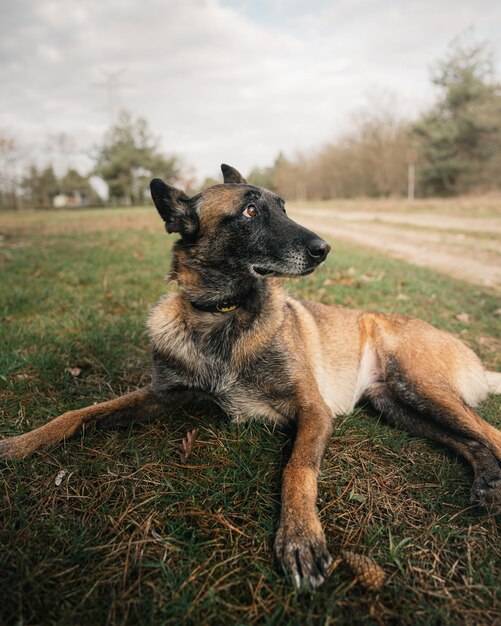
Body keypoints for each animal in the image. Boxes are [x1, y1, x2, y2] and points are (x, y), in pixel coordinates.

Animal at [0, 163, 500, 588]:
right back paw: (487, 481)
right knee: (471, 441)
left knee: (487, 432)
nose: (324, 249)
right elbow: (80, 413)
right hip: (398, 405)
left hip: (417, 386)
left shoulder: (313, 409)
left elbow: (298, 468)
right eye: (250, 211)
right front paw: (21, 443)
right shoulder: (159, 395)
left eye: (283, 206)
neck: (223, 315)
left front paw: (299, 538)